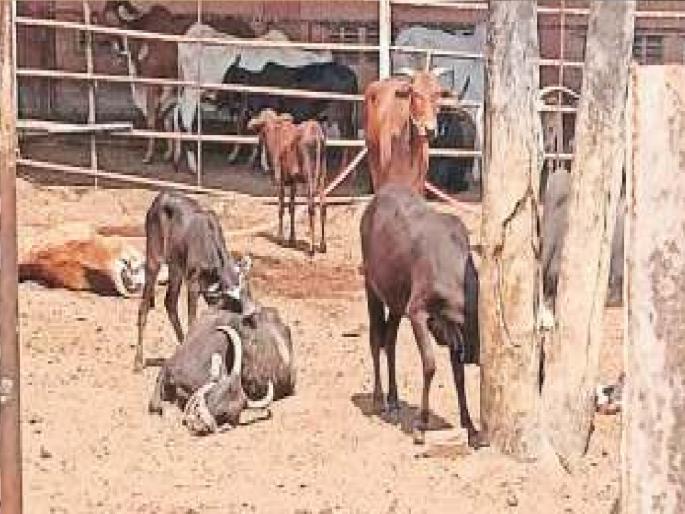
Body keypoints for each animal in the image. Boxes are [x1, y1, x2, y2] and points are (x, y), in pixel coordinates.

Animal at [136, 191, 254, 372]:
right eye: (233, 299)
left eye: (248, 291)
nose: (250, 312)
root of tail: (161, 197)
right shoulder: (193, 284)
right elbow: (193, 321)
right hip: (154, 258)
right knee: (144, 307)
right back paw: (138, 360)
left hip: (175, 267)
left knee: (170, 302)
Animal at [248, 109, 328, 255]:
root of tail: (317, 133)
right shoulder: (293, 182)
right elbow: (292, 208)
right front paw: (292, 239)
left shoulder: (280, 180)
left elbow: (281, 208)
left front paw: (280, 238)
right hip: (322, 177)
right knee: (323, 206)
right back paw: (323, 245)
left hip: (310, 176)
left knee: (311, 206)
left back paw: (312, 248)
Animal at [360, 184, 486, 448]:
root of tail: (374, 201)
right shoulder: (417, 311)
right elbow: (429, 365)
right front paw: (421, 424)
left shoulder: (451, 327)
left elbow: (458, 375)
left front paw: (470, 427)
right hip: (371, 286)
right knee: (376, 339)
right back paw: (378, 399)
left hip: (396, 301)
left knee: (390, 341)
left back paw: (394, 400)